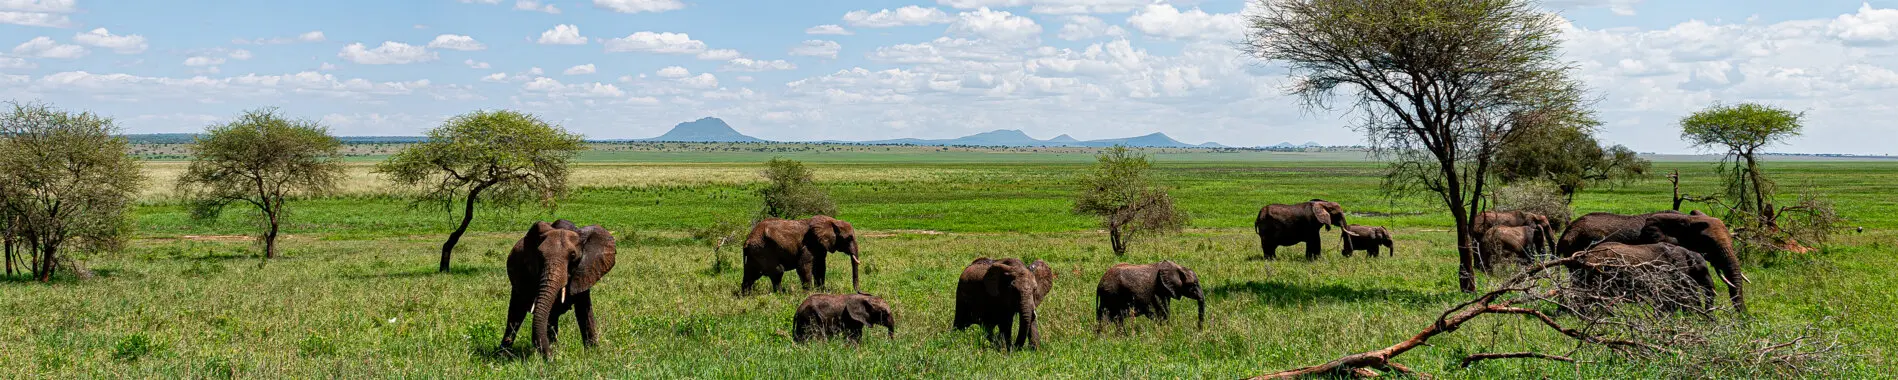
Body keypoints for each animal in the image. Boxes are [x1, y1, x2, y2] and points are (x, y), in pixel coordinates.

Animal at [501, 218, 618, 357]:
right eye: (539, 255)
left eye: (573, 255)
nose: (549, 357)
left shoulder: (585, 270)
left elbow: (584, 311)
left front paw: (593, 353)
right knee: (515, 314)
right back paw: (503, 355)